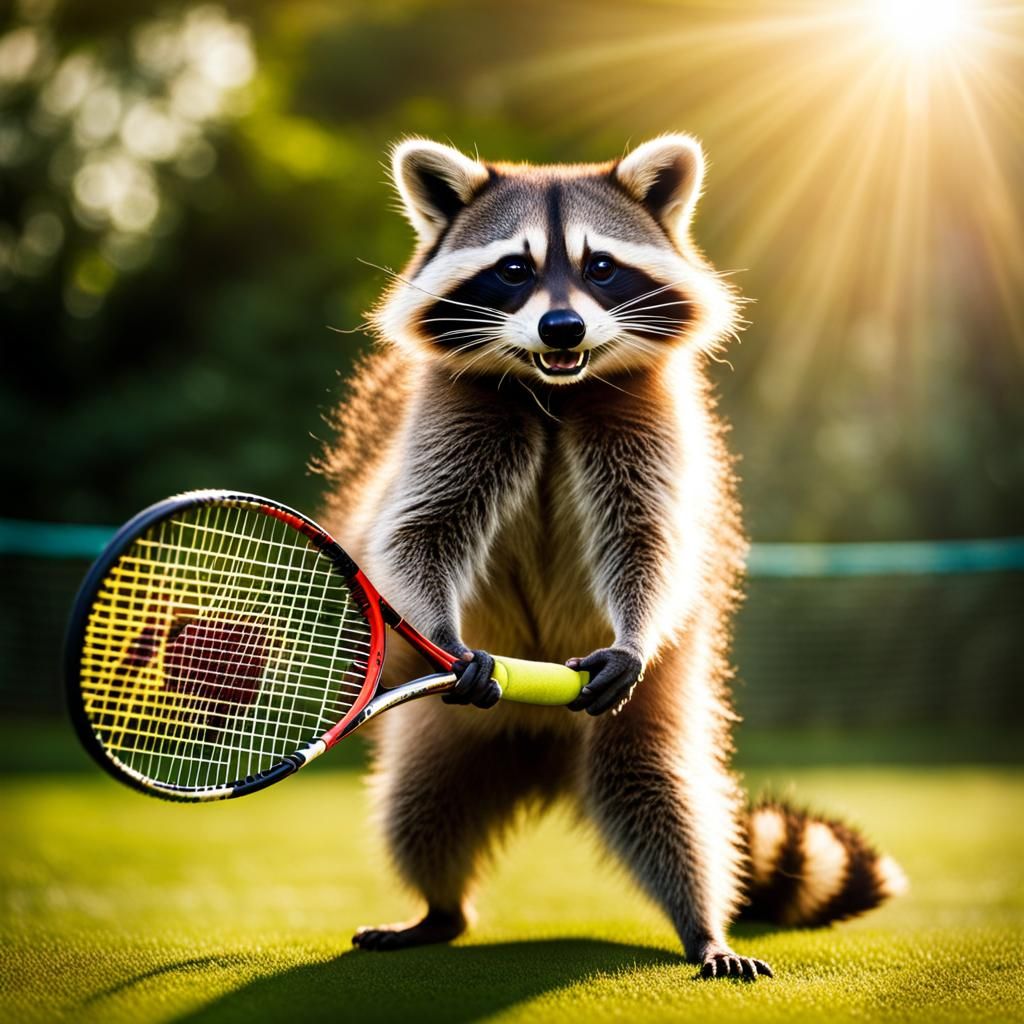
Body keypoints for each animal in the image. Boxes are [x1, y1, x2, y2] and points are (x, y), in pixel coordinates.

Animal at [320, 135, 906, 980]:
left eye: (600, 266)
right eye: (513, 269)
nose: (562, 328)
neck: (557, 388)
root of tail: (539, 739)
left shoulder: (650, 420)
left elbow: (650, 538)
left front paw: (634, 629)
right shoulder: (450, 416)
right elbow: (418, 530)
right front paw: (443, 633)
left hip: (649, 706)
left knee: (663, 796)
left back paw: (702, 923)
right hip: (447, 731)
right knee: (420, 807)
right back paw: (439, 908)